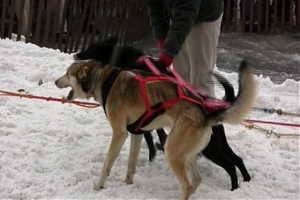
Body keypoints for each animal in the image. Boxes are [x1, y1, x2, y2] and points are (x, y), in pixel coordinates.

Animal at [73, 38, 251, 191]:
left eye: (91, 50)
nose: (76, 55)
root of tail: (213, 107)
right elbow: (152, 135)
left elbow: (150, 138)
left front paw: (152, 156)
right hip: (219, 145)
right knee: (237, 159)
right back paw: (246, 180)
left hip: (211, 149)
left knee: (230, 165)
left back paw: (234, 188)